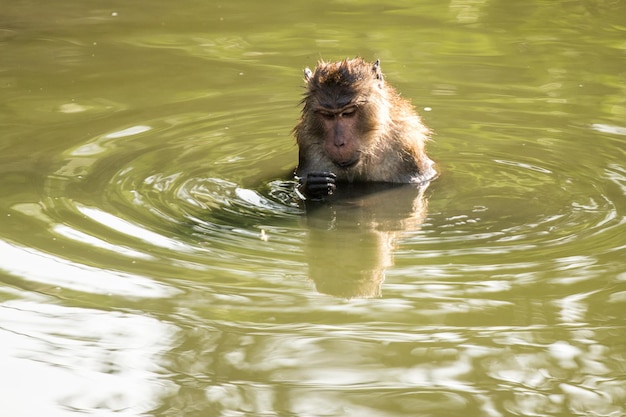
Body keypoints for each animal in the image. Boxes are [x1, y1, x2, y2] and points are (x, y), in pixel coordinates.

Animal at [292, 57, 434, 200]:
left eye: (348, 113)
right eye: (328, 115)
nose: (339, 143)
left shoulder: (405, 146)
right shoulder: (308, 145)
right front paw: (312, 187)